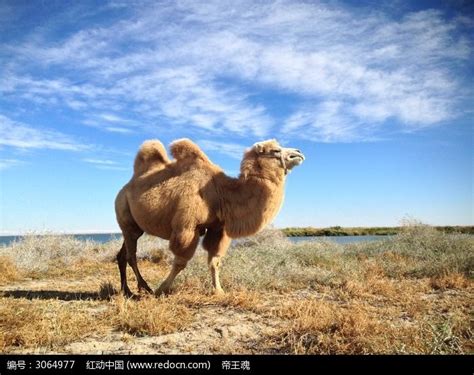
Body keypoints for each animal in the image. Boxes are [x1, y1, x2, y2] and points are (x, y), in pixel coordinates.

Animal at [116, 138, 306, 296]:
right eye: (275, 150)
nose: (298, 152)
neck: (222, 193)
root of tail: (124, 188)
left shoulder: (218, 228)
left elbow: (215, 261)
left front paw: (219, 291)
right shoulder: (187, 227)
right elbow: (180, 262)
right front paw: (161, 289)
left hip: (134, 227)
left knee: (122, 254)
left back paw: (126, 290)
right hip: (124, 214)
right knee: (131, 255)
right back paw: (144, 288)